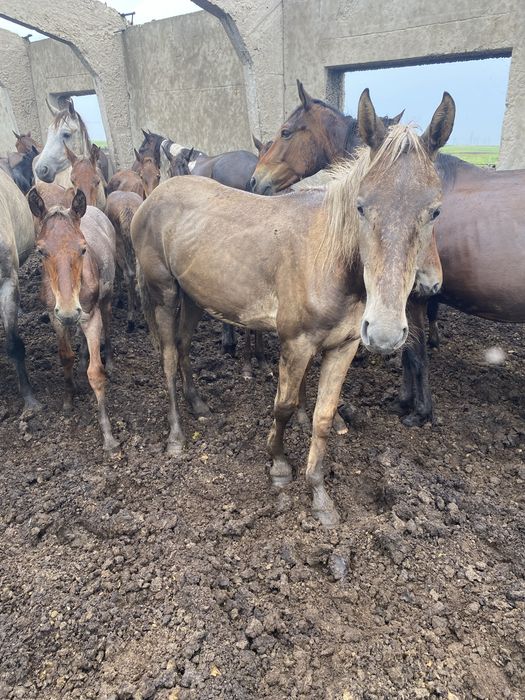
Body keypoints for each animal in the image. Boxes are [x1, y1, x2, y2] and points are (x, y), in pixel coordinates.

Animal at [27, 187, 118, 452]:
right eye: (41, 250)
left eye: (83, 249)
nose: (69, 311)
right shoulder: (55, 318)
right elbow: (65, 356)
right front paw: (68, 401)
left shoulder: (90, 317)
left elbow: (95, 373)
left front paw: (108, 435)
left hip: (106, 300)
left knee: (108, 326)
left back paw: (109, 360)